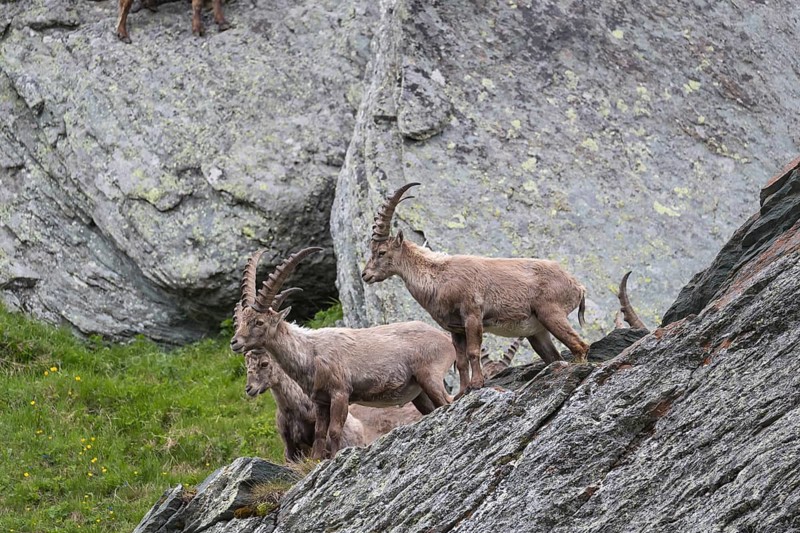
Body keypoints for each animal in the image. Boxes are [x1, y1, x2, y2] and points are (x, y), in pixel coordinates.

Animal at [230, 247, 456, 459]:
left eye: (259, 322)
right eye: (243, 321)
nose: (235, 342)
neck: (310, 353)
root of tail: (445, 338)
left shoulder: (340, 393)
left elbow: (335, 431)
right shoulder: (321, 401)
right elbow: (320, 434)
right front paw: (318, 462)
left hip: (430, 375)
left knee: (447, 400)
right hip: (418, 392)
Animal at [361, 182, 590, 394]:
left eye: (381, 252)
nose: (365, 275)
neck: (440, 277)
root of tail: (578, 286)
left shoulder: (472, 315)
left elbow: (473, 352)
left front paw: (478, 384)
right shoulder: (455, 329)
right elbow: (461, 361)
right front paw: (462, 392)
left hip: (551, 312)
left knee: (580, 345)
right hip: (537, 330)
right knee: (555, 355)